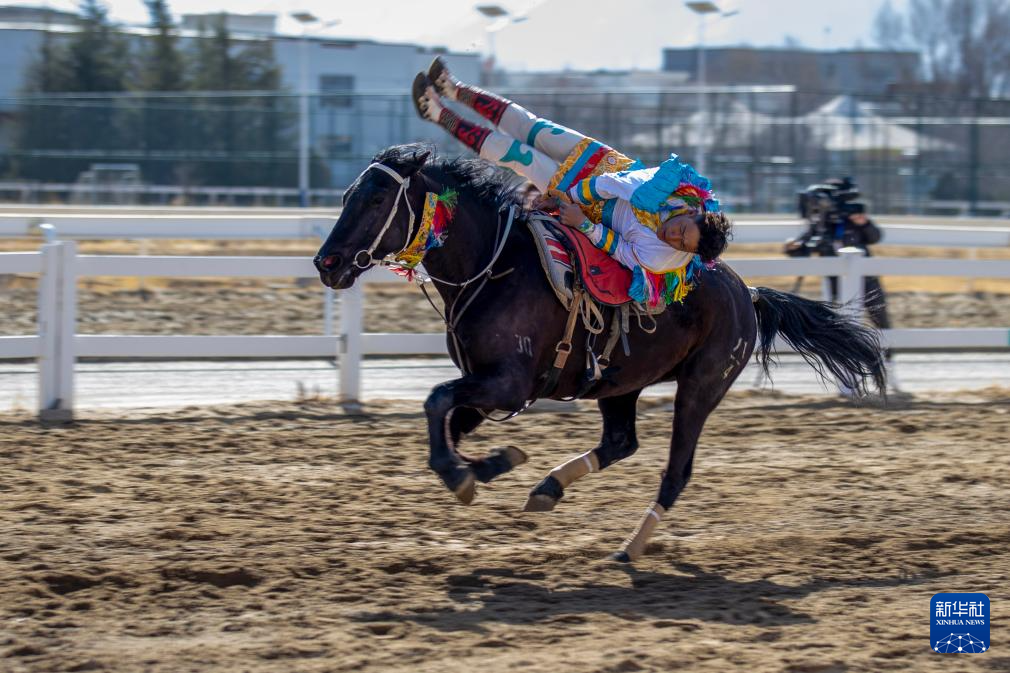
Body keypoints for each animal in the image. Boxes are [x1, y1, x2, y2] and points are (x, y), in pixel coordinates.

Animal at [315, 145, 884, 561]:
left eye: (377, 200)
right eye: (347, 194)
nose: (328, 263)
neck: (496, 267)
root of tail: (749, 294)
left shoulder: (507, 385)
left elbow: (436, 401)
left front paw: (462, 475)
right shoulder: (485, 386)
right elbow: (450, 420)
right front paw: (492, 464)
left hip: (700, 388)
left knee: (675, 472)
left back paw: (629, 548)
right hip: (620, 383)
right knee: (620, 442)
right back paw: (548, 488)